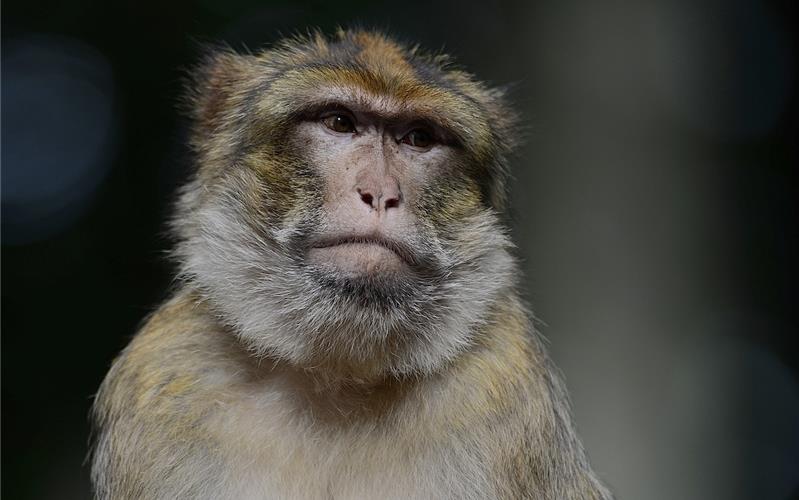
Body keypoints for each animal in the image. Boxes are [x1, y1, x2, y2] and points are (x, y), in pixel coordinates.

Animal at [90, 29, 616, 498]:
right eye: (340, 123)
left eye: (418, 138)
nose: (381, 192)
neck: (337, 378)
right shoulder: (164, 371)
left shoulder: (508, 382)